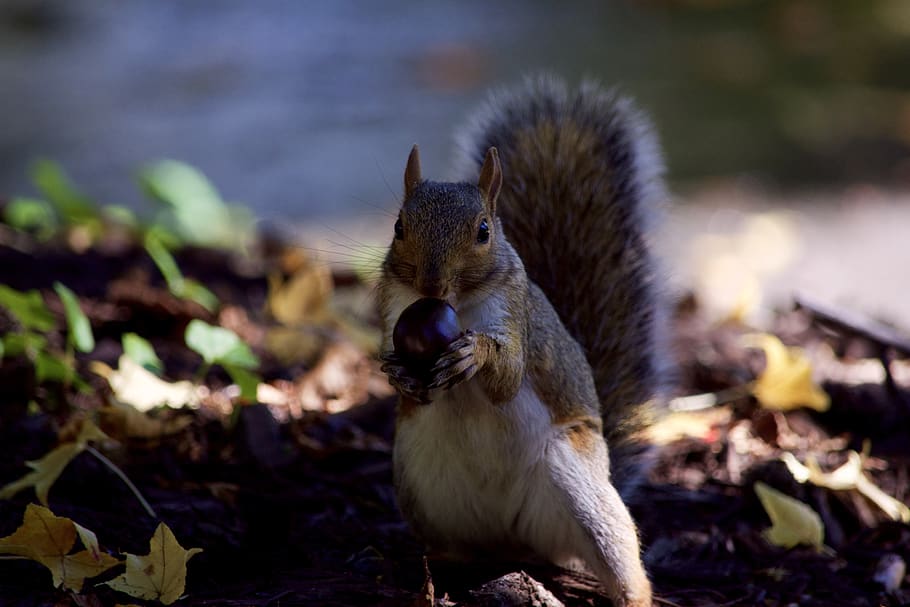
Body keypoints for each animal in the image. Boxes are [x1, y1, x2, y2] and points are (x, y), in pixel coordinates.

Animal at [377, 76, 671, 607]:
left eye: (483, 231)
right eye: (398, 227)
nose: (431, 285)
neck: (459, 305)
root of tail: (515, 544)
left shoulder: (515, 316)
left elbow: (508, 379)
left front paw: (474, 354)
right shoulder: (393, 304)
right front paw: (396, 374)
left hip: (578, 485)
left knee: (621, 560)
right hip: (419, 480)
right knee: (461, 547)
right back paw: (442, 567)